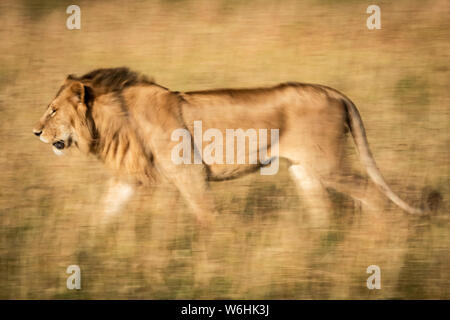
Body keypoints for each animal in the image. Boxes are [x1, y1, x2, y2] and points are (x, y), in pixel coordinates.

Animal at [32, 66, 426, 226]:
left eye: (52, 110)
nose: (34, 132)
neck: (113, 122)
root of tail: (335, 92)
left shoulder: (189, 172)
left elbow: (206, 216)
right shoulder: (127, 178)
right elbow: (104, 212)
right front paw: (86, 246)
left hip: (329, 166)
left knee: (372, 194)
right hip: (305, 170)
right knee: (323, 210)